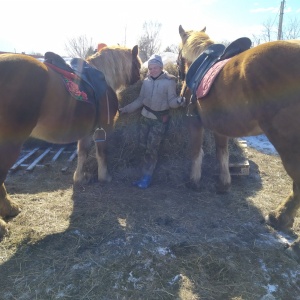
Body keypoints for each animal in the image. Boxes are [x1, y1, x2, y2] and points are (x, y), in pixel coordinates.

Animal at [0, 44, 142, 238]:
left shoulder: (86, 132)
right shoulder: (104, 129)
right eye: (138, 63)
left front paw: (80, 178)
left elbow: (82, 153)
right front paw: (104, 177)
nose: (140, 78)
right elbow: (101, 153)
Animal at [177, 25, 300, 241]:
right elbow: (222, 154)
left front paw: (194, 181)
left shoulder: (194, 123)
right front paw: (224, 184)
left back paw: (279, 217)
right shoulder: (220, 127)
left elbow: (196, 152)